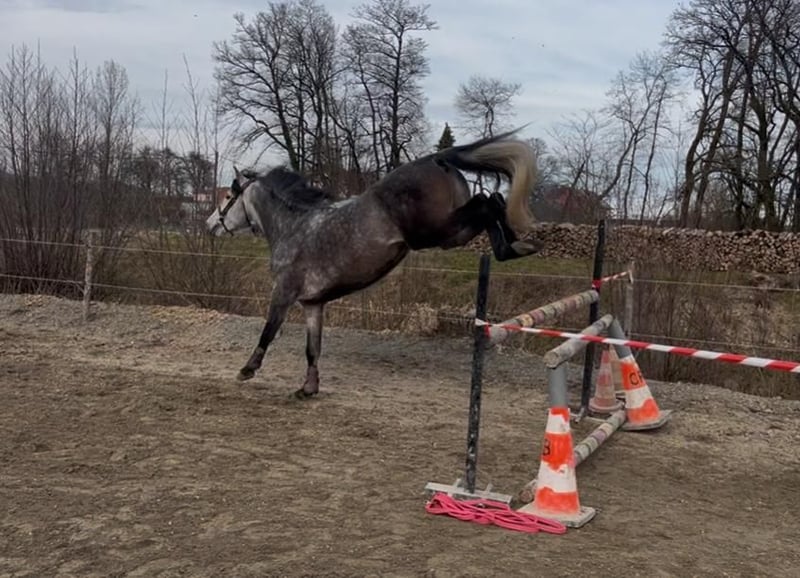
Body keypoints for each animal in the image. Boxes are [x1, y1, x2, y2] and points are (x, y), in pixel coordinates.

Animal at [205, 130, 541, 398]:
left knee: (489, 202)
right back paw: (517, 246)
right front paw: (308, 388)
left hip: (435, 232)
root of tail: (435, 158)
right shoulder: (313, 304)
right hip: (451, 233)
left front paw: (247, 369)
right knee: (493, 200)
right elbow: (313, 348)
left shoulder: (283, 293)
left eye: (227, 196)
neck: (294, 227)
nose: (210, 225)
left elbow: (268, 330)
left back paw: (514, 246)